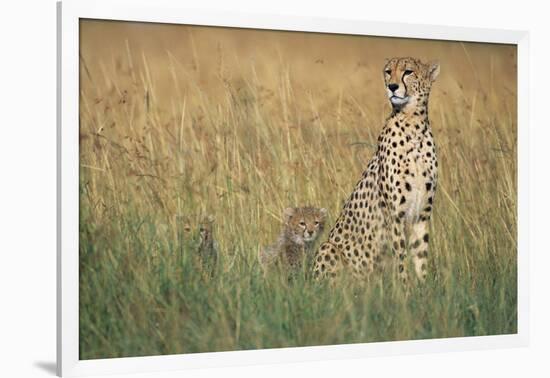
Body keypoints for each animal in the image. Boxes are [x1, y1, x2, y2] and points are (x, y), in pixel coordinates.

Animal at [316, 56, 442, 284]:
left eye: (408, 72)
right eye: (388, 71)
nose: (392, 86)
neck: (414, 125)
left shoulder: (422, 214)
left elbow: (420, 257)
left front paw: (423, 289)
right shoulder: (395, 215)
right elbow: (401, 259)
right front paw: (405, 289)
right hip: (328, 248)